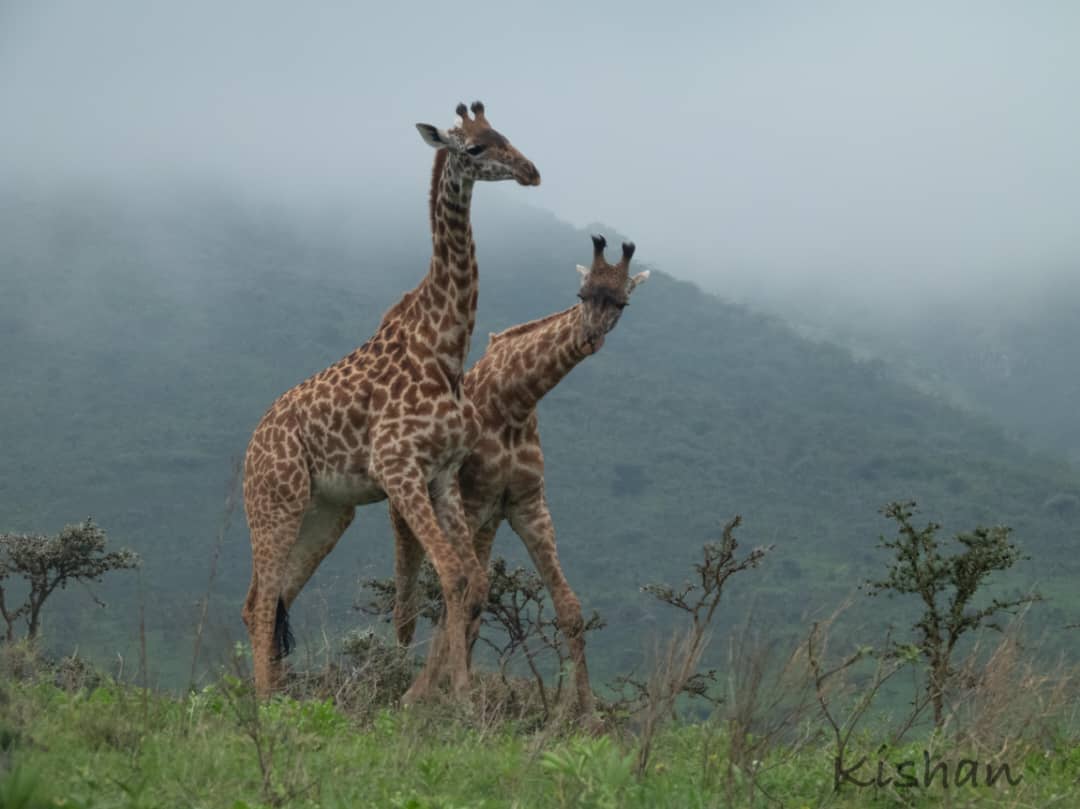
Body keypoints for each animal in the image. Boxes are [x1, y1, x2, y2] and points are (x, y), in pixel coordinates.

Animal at [241, 101, 540, 700]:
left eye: (506, 134)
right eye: (474, 147)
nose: (531, 171)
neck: (445, 347)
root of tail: (250, 448)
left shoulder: (441, 476)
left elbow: (471, 581)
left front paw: (452, 696)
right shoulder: (397, 469)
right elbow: (451, 575)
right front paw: (457, 699)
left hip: (325, 513)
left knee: (267, 598)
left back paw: (279, 694)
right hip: (275, 502)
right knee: (262, 603)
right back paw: (263, 704)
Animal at [391, 235, 648, 717]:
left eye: (621, 303)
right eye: (582, 295)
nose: (590, 337)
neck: (516, 400)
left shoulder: (526, 504)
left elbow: (568, 605)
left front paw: (588, 715)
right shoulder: (471, 500)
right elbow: (459, 592)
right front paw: (422, 695)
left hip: (488, 522)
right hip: (424, 513)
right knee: (417, 593)